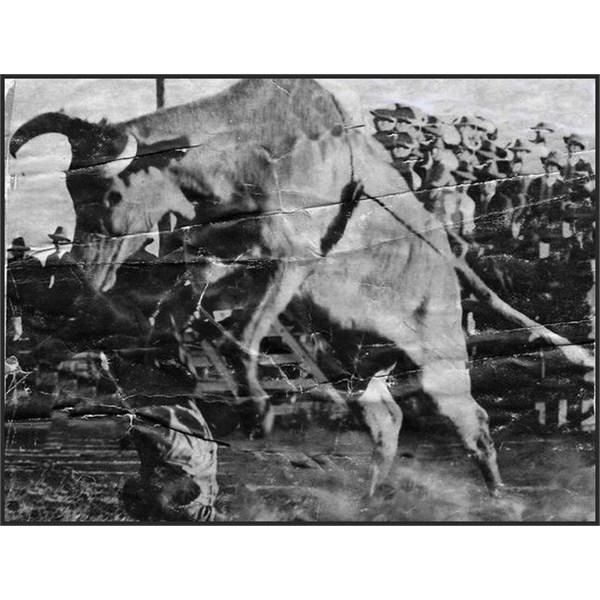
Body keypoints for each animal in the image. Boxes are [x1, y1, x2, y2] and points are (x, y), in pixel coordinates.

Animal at [10, 78, 596, 496]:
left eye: (111, 194)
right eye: (73, 190)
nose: (83, 269)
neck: (249, 146)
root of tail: (448, 256)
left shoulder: (293, 256)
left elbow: (240, 334)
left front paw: (258, 409)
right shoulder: (218, 258)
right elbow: (169, 301)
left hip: (441, 362)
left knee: (473, 422)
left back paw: (499, 499)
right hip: (356, 357)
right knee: (387, 420)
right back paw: (373, 501)